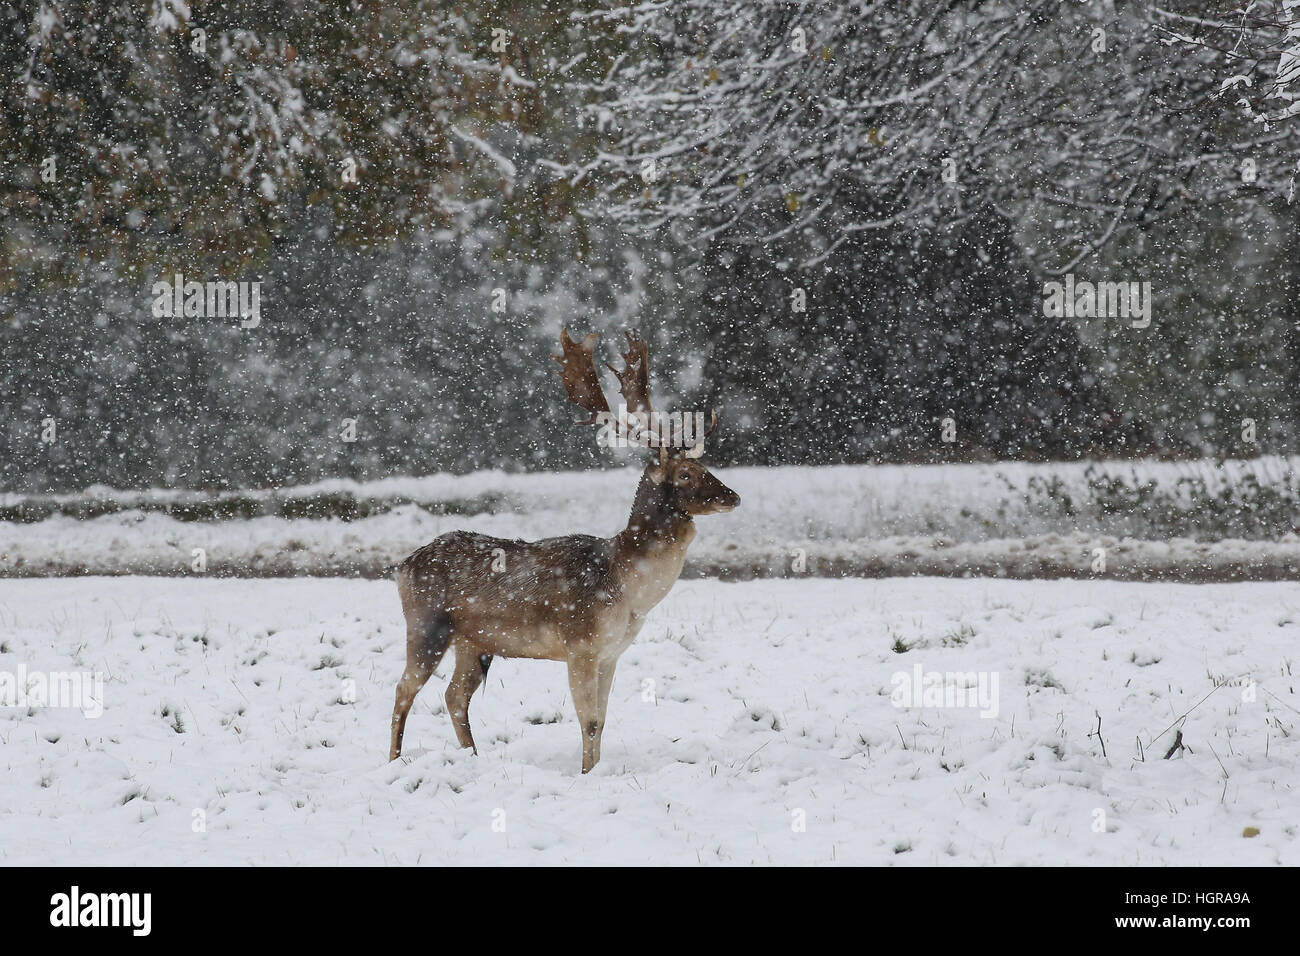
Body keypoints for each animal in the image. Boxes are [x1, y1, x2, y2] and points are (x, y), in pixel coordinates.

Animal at [388, 329, 740, 773]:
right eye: (686, 474)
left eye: (706, 465)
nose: (733, 496)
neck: (627, 590)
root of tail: (402, 566)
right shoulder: (580, 645)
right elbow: (588, 721)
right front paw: (586, 774)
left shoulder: (611, 653)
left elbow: (603, 721)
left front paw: (597, 769)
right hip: (425, 623)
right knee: (403, 689)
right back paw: (393, 761)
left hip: (474, 642)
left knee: (454, 695)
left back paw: (473, 757)